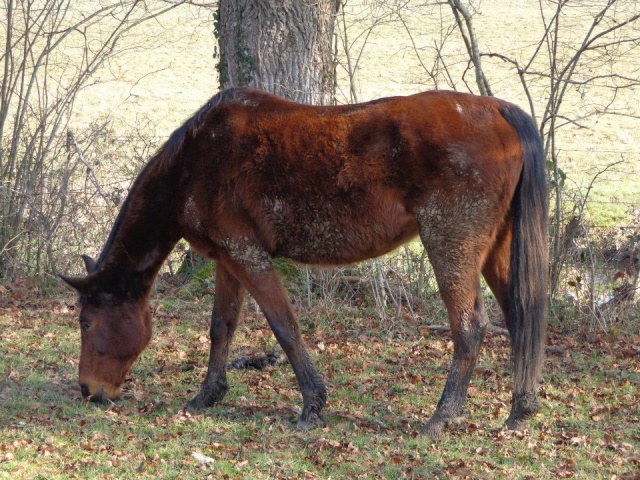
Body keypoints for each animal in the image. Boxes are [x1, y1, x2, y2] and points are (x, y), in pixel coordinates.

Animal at [61, 87, 552, 438]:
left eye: (86, 321)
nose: (88, 390)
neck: (194, 161)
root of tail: (497, 110)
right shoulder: (228, 261)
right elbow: (222, 327)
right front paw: (208, 395)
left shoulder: (248, 258)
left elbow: (285, 328)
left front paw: (312, 405)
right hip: (493, 250)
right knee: (520, 316)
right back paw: (520, 410)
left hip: (451, 246)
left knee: (470, 328)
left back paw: (441, 418)